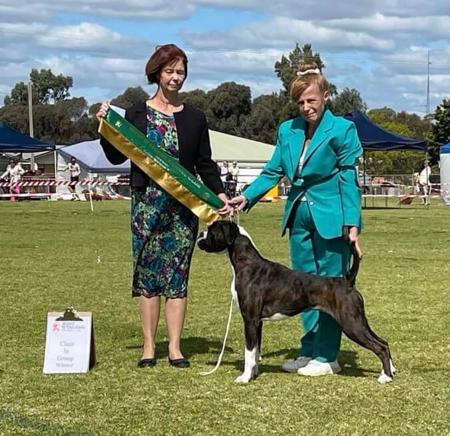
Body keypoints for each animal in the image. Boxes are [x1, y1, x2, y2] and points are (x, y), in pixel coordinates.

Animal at [197, 221, 395, 384]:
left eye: (212, 230)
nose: (200, 233)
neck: (247, 263)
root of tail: (347, 281)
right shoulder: (257, 323)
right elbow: (256, 352)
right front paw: (253, 374)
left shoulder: (250, 321)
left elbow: (249, 352)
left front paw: (244, 378)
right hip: (359, 321)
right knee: (384, 342)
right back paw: (391, 370)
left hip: (352, 324)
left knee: (380, 347)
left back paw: (385, 377)